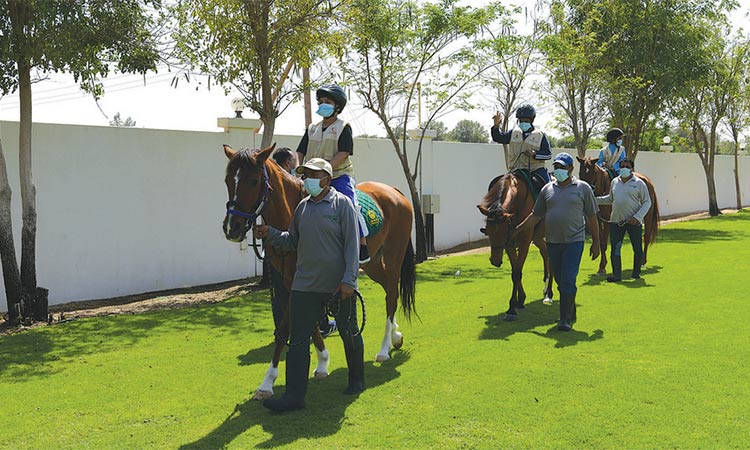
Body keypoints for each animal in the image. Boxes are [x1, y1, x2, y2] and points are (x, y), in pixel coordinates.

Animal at [222, 143, 418, 398]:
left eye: (253, 181)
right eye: (228, 180)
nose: (232, 228)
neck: (292, 215)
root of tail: (395, 192)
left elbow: (284, 328)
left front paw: (267, 382)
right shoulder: (292, 280)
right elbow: (307, 321)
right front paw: (323, 362)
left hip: (394, 256)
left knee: (392, 295)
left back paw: (385, 348)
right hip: (372, 263)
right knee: (388, 290)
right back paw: (395, 335)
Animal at [478, 172, 556, 320]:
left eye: (503, 232)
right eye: (488, 231)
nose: (495, 261)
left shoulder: (524, 242)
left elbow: (517, 273)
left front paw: (511, 309)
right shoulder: (509, 243)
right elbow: (515, 270)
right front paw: (520, 300)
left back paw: (549, 293)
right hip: (537, 238)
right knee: (546, 254)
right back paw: (545, 288)